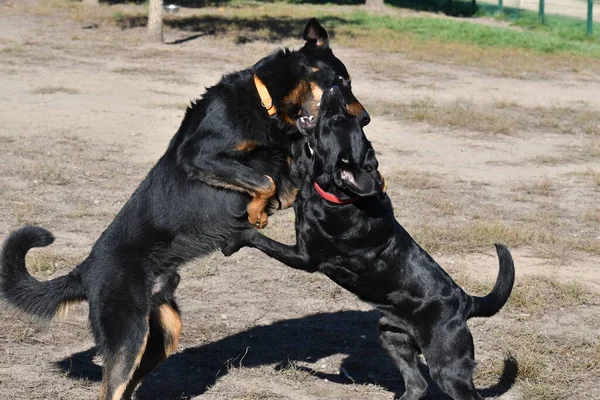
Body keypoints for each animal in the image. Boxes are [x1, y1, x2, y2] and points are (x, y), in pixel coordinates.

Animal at [0, 18, 368, 400]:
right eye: (342, 81)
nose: (366, 119)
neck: (266, 101)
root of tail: (85, 270)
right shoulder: (199, 156)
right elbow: (262, 179)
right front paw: (255, 213)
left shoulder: (292, 178)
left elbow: (276, 180)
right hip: (129, 336)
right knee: (112, 389)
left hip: (164, 334)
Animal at [223, 86, 512, 400]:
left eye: (335, 122)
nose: (333, 90)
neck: (339, 197)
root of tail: (464, 302)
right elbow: (301, 158)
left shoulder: (304, 257)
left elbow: (257, 237)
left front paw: (232, 241)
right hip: (392, 336)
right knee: (417, 384)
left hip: (447, 367)